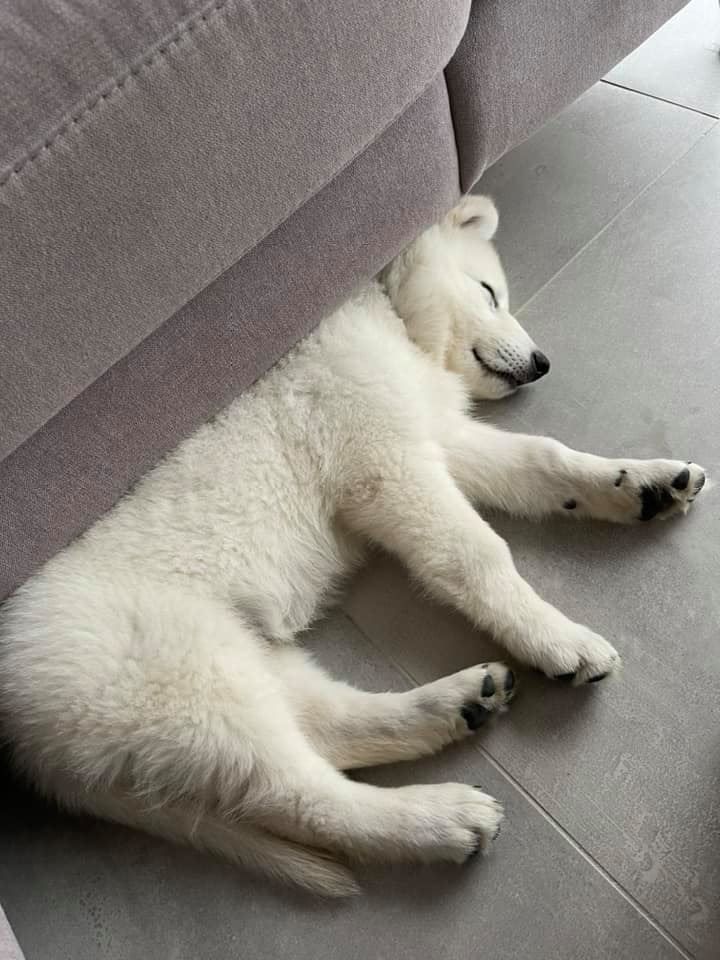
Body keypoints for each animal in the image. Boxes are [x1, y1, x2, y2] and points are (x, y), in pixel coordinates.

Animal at [0, 195, 704, 892]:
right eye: (489, 293)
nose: (541, 365)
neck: (390, 317)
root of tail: (26, 743)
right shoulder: (388, 464)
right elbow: (479, 554)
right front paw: (556, 637)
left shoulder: (439, 436)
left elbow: (546, 459)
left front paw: (641, 484)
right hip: (180, 677)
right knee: (300, 795)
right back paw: (437, 819)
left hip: (231, 660)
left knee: (327, 726)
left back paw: (452, 707)